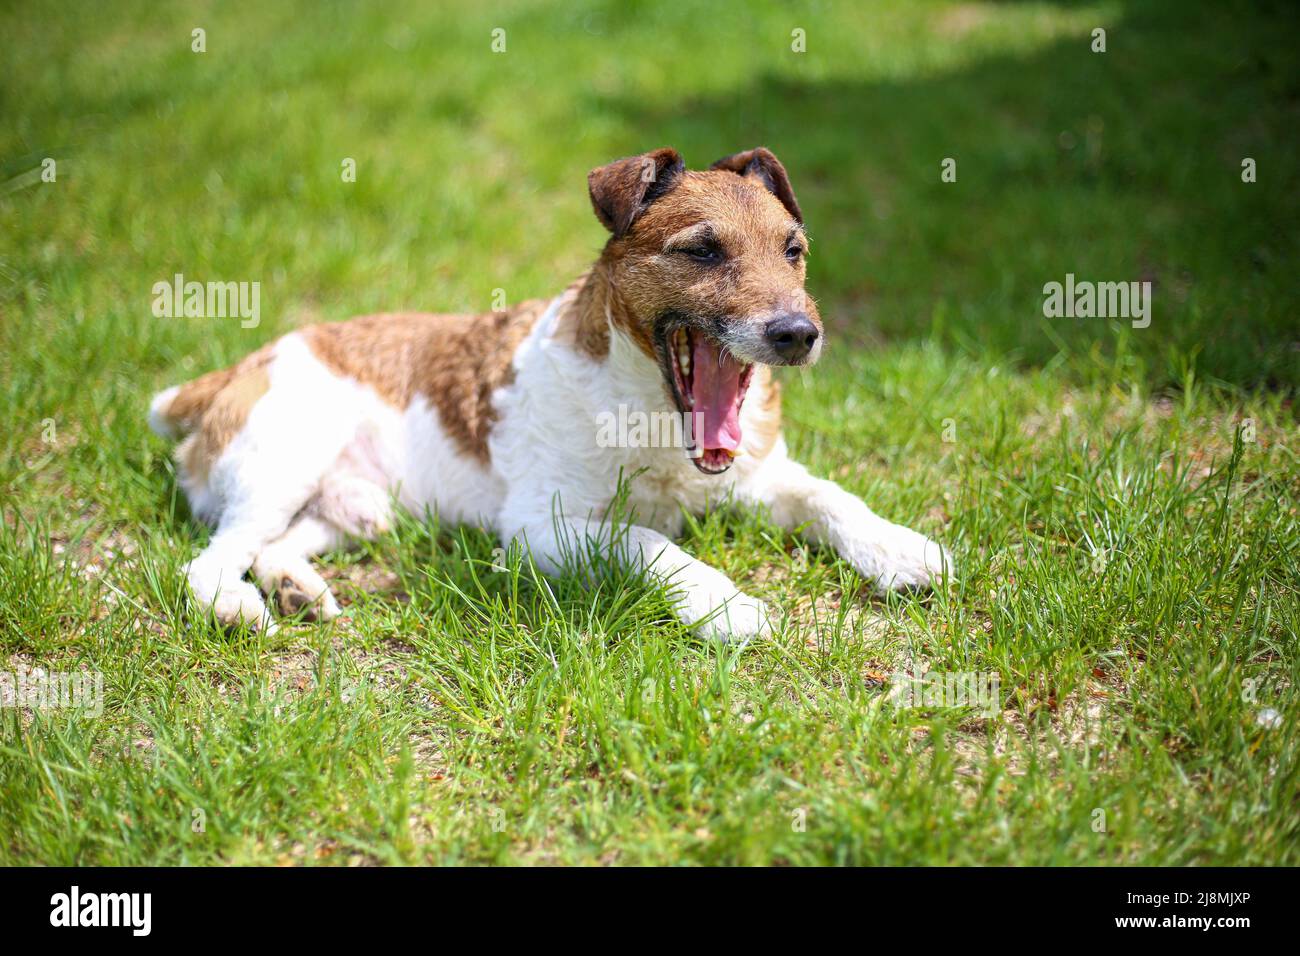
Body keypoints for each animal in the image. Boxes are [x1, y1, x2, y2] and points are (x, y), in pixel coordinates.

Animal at [152, 149, 951, 639]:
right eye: (701, 250)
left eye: (794, 251)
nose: (797, 334)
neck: (650, 415)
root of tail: (235, 370)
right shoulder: (542, 527)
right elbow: (649, 540)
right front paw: (724, 605)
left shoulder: (761, 476)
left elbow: (831, 498)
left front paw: (900, 549)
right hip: (284, 460)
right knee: (212, 558)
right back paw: (237, 606)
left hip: (359, 509)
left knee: (276, 545)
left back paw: (299, 588)